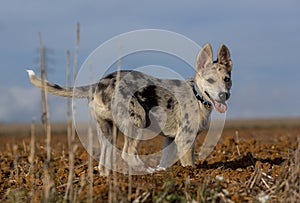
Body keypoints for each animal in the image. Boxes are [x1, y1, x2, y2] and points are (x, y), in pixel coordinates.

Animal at [27, 43, 233, 175]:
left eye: (227, 79)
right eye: (210, 80)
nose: (224, 95)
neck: (198, 95)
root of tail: (98, 84)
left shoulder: (170, 139)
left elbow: (166, 160)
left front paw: (165, 172)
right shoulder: (185, 138)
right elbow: (188, 162)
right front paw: (190, 173)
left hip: (108, 129)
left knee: (104, 160)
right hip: (138, 121)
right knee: (128, 153)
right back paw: (146, 171)